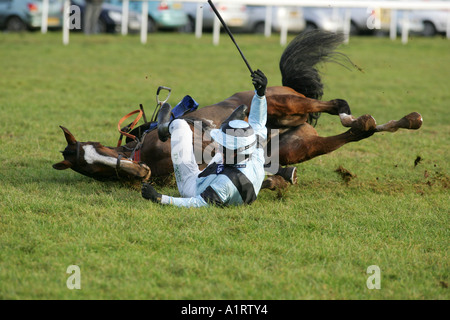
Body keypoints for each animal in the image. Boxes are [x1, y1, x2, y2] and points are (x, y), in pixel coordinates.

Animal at [52, 30, 422, 189]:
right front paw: (276, 181)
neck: (148, 153)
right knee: (357, 134)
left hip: (286, 103)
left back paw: (356, 114)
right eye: (93, 168)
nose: (138, 172)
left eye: (99, 149)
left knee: (335, 104)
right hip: (298, 144)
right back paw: (390, 122)